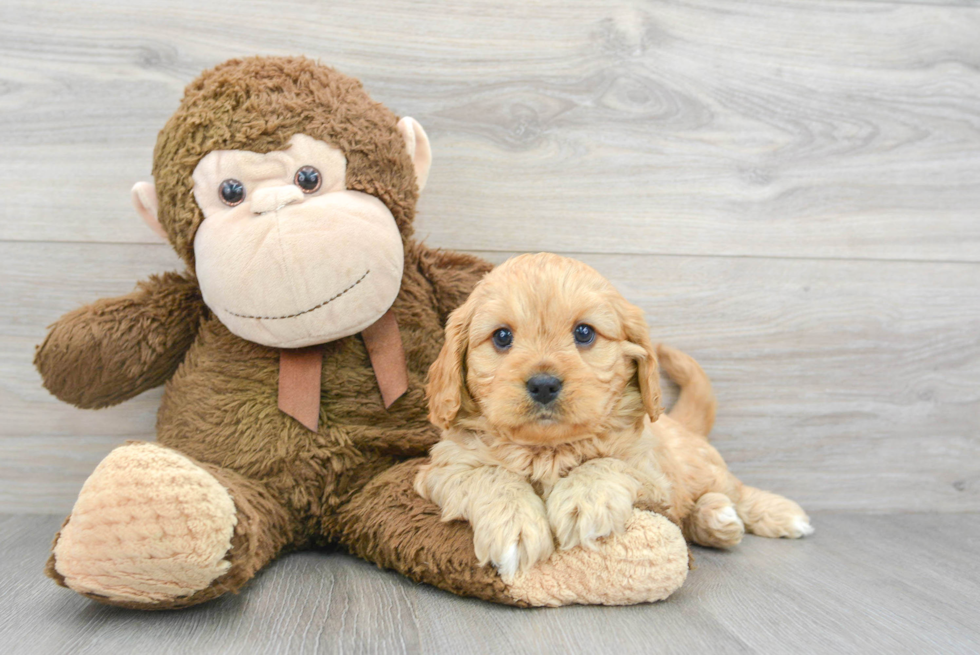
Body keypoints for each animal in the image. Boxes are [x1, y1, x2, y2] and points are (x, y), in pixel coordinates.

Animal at [414, 254, 812, 580]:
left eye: (584, 333)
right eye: (501, 337)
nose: (543, 384)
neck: (548, 449)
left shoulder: (651, 474)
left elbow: (605, 463)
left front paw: (583, 501)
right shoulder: (440, 471)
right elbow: (491, 475)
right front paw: (515, 525)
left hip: (703, 469)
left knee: (737, 491)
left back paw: (780, 514)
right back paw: (718, 519)